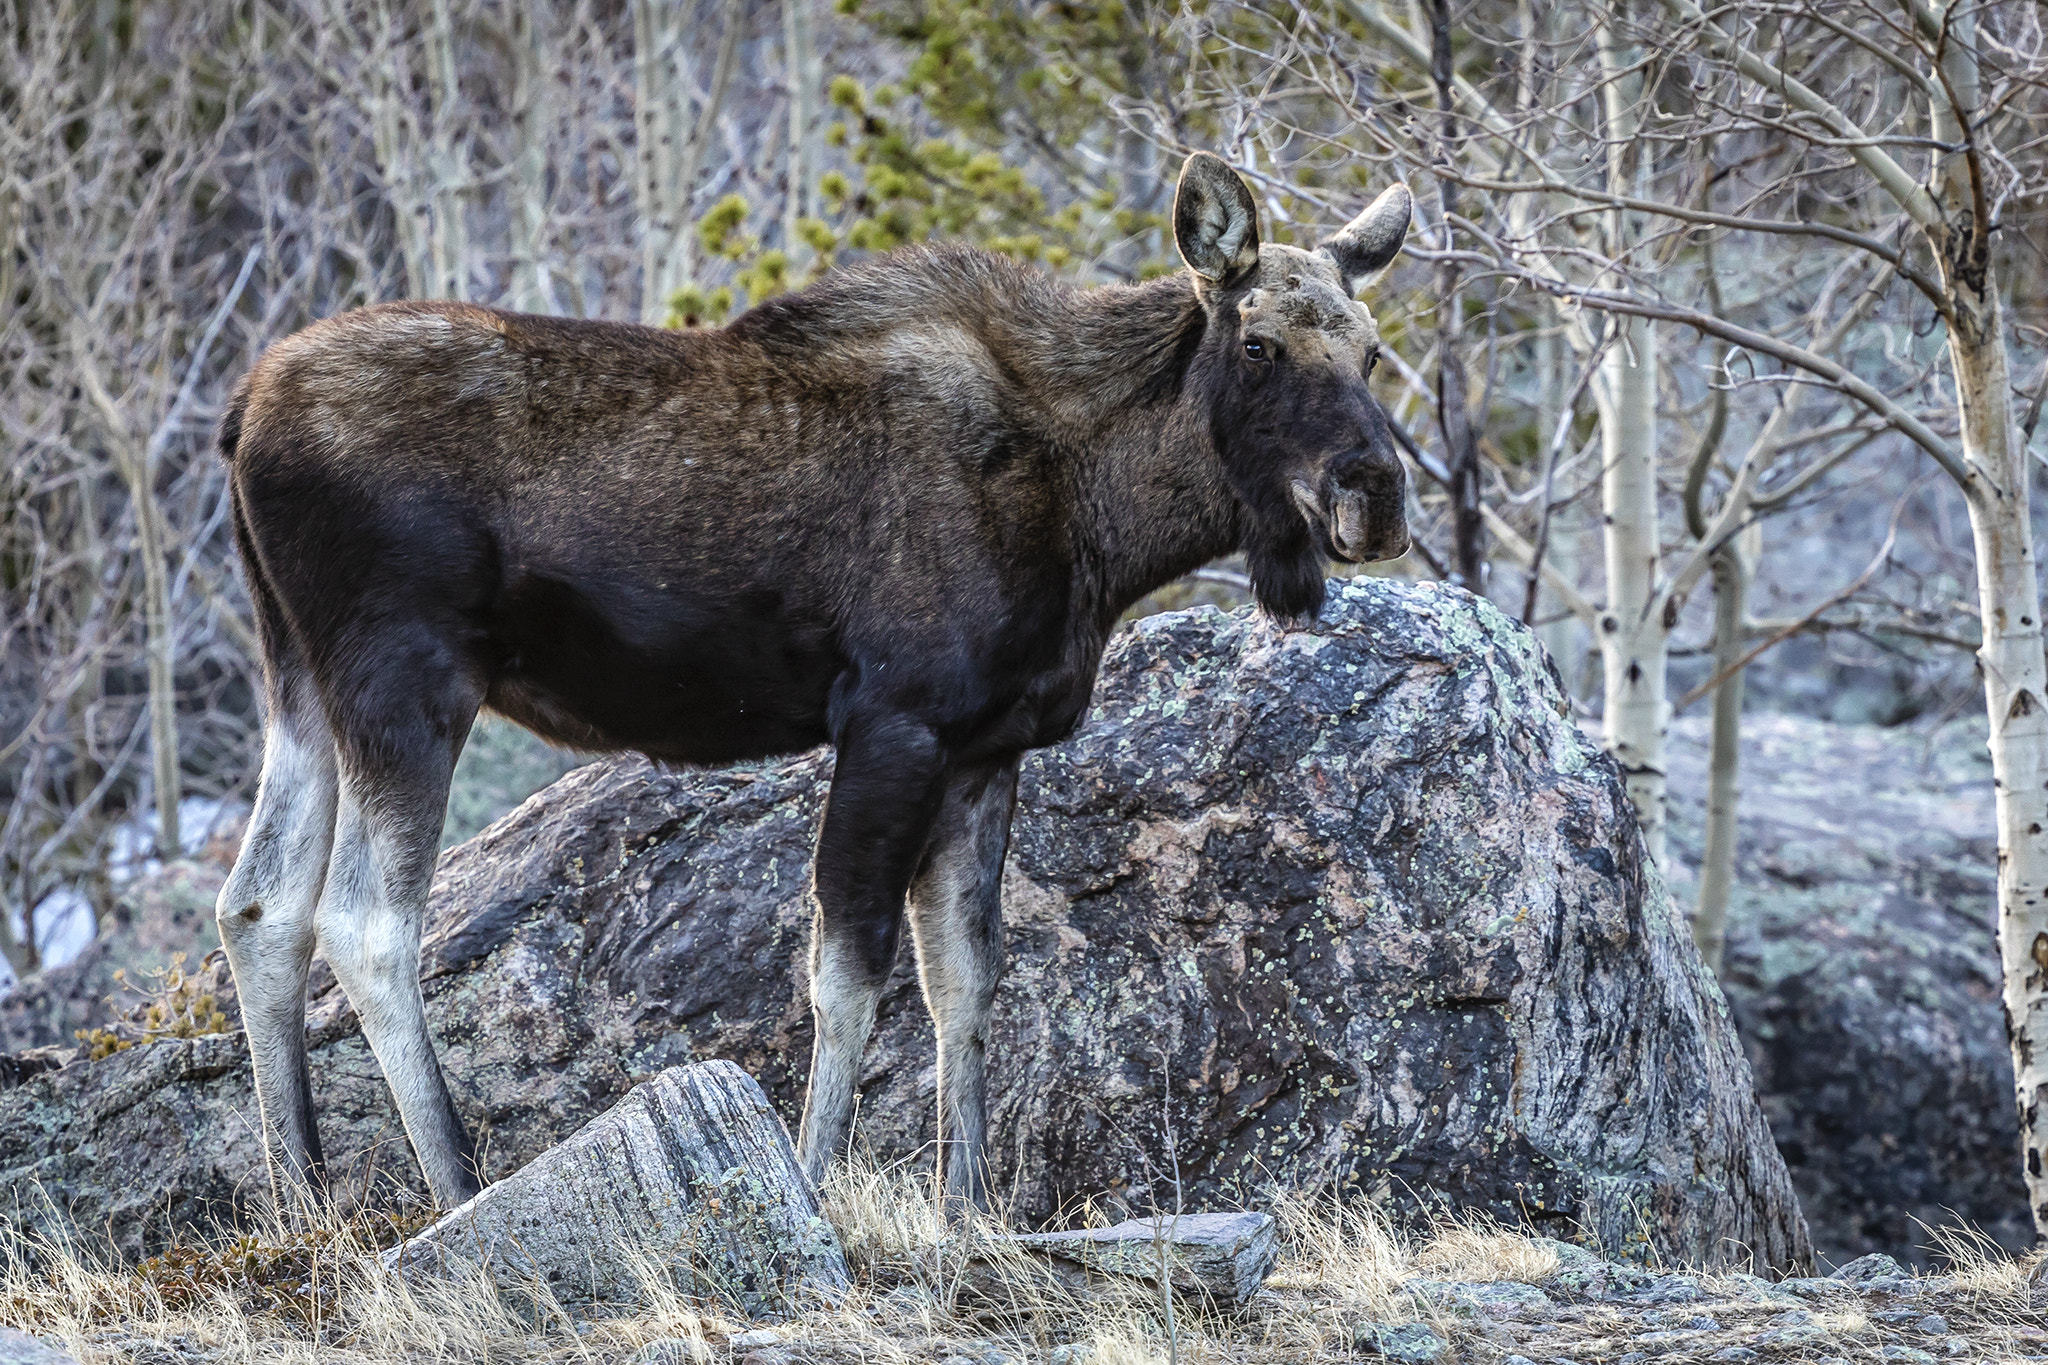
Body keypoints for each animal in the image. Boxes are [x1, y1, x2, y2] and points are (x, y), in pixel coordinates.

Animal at [220, 152, 1409, 1219]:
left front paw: (969, 1209)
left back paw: (301, 1202)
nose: (1375, 492)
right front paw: (812, 1180)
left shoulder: (988, 748)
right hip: (407, 674)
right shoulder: (895, 720)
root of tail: (240, 414)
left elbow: (964, 978)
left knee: (259, 904)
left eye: (1371, 350)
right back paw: (459, 1186)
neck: (1100, 519)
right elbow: (849, 971)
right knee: (366, 920)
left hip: (301, 679)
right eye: (1258, 343)